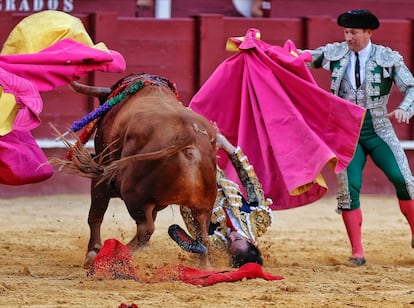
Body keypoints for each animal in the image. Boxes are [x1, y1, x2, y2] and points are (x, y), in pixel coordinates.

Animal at [60, 73, 220, 268]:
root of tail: (188, 134)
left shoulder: (101, 176)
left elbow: (95, 214)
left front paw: (92, 253)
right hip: (204, 205)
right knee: (202, 236)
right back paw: (203, 267)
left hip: (134, 196)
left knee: (145, 230)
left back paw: (115, 255)